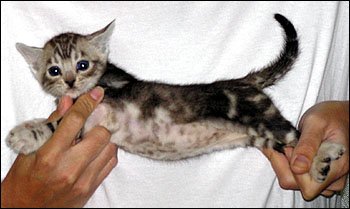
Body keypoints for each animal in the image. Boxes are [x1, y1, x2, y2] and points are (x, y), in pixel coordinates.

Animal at [6, 14, 346, 183]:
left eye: (82, 64)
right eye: (53, 70)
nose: (70, 81)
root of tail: (242, 81)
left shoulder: (103, 106)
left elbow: (57, 123)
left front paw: (24, 135)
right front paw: (30, 128)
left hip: (259, 117)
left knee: (296, 134)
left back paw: (324, 153)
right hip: (257, 136)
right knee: (285, 142)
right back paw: (319, 162)